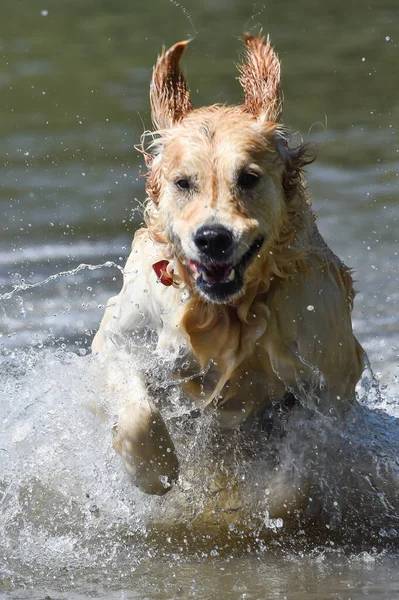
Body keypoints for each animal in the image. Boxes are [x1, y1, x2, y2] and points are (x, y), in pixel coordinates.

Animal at [92, 35, 368, 500]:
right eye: (183, 182)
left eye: (249, 178)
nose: (212, 237)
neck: (226, 311)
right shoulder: (122, 337)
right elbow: (138, 414)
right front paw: (155, 471)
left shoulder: (331, 376)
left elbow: (296, 479)